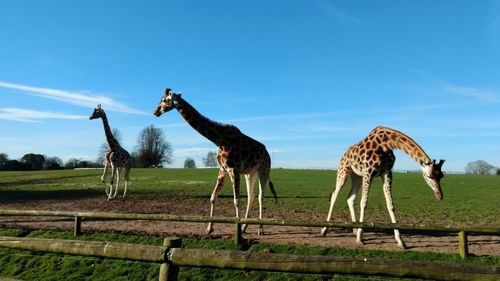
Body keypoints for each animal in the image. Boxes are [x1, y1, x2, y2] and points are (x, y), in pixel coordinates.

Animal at [152, 88, 278, 234]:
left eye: (163, 100)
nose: (155, 111)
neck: (218, 139)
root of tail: (267, 152)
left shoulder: (233, 169)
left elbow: (236, 200)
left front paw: (237, 228)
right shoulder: (222, 169)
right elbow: (213, 197)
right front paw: (209, 227)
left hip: (264, 170)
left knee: (260, 197)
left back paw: (260, 229)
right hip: (250, 173)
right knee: (251, 196)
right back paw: (245, 227)